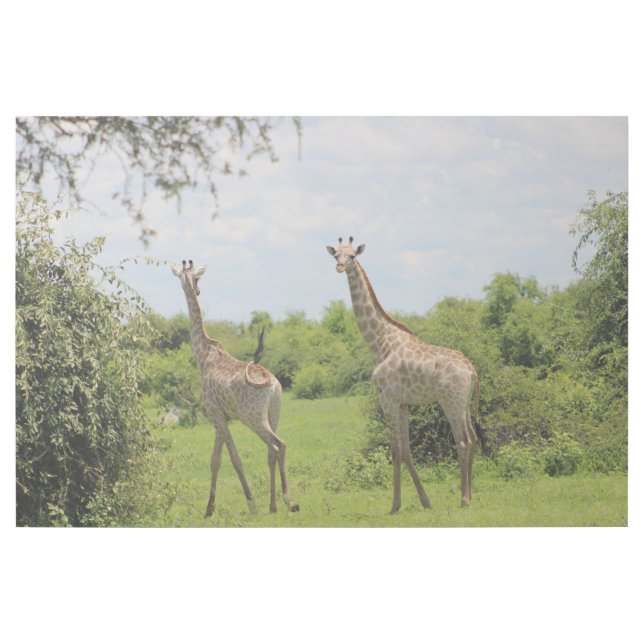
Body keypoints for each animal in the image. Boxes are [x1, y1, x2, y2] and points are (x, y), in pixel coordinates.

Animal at [172, 260, 299, 517]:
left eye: (197, 278)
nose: (197, 290)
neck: (203, 355)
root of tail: (272, 384)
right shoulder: (221, 416)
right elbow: (215, 460)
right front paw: (209, 508)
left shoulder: (214, 412)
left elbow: (234, 458)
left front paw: (251, 504)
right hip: (274, 412)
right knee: (273, 450)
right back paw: (274, 504)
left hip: (253, 417)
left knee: (278, 444)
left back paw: (287, 501)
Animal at [326, 238, 479, 513]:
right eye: (336, 256)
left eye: (352, 255)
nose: (340, 267)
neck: (380, 342)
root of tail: (471, 370)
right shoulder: (403, 403)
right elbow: (407, 451)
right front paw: (425, 501)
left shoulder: (387, 399)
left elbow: (394, 451)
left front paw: (395, 505)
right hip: (465, 403)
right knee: (473, 439)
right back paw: (469, 496)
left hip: (450, 401)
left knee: (462, 442)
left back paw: (464, 500)